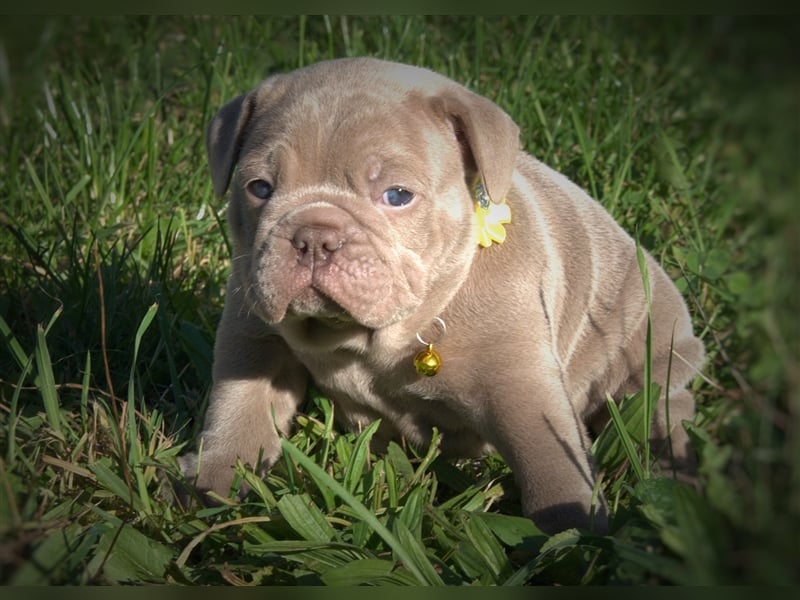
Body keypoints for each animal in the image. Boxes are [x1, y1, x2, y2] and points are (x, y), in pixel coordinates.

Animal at [178, 57, 704, 536]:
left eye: (397, 196)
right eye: (259, 188)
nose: (313, 237)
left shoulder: (520, 383)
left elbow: (550, 461)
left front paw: (572, 539)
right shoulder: (252, 330)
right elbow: (240, 405)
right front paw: (212, 483)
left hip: (654, 355)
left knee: (662, 413)